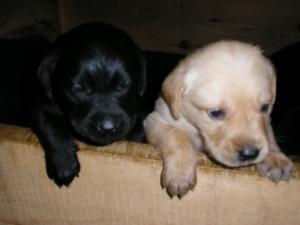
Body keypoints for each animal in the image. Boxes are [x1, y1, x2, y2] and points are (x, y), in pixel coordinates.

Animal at [32, 22, 145, 186]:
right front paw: (64, 163)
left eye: (124, 85)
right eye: (78, 89)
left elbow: (138, 134)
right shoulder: (43, 105)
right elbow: (51, 128)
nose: (108, 127)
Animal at [145, 40, 296, 197]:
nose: (250, 154)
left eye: (265, 107)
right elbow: (176, 136)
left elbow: (268, 135)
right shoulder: (157, 120)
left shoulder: (267, 123)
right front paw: (180, 173)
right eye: (216, 113)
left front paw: (276, 159)